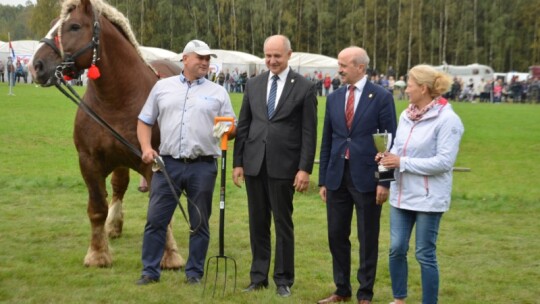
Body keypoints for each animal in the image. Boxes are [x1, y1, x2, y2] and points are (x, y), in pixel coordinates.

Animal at [30, 0, 186, 268]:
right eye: (52, 24)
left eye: (74, 26)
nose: (37, 66)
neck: (117, 100)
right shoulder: (89, 161)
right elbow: (97, 208)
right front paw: (97, 253)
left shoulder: (154, 163)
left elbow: (159, 209)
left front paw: (170, 255)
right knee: (119, 187)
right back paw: (113, 225)